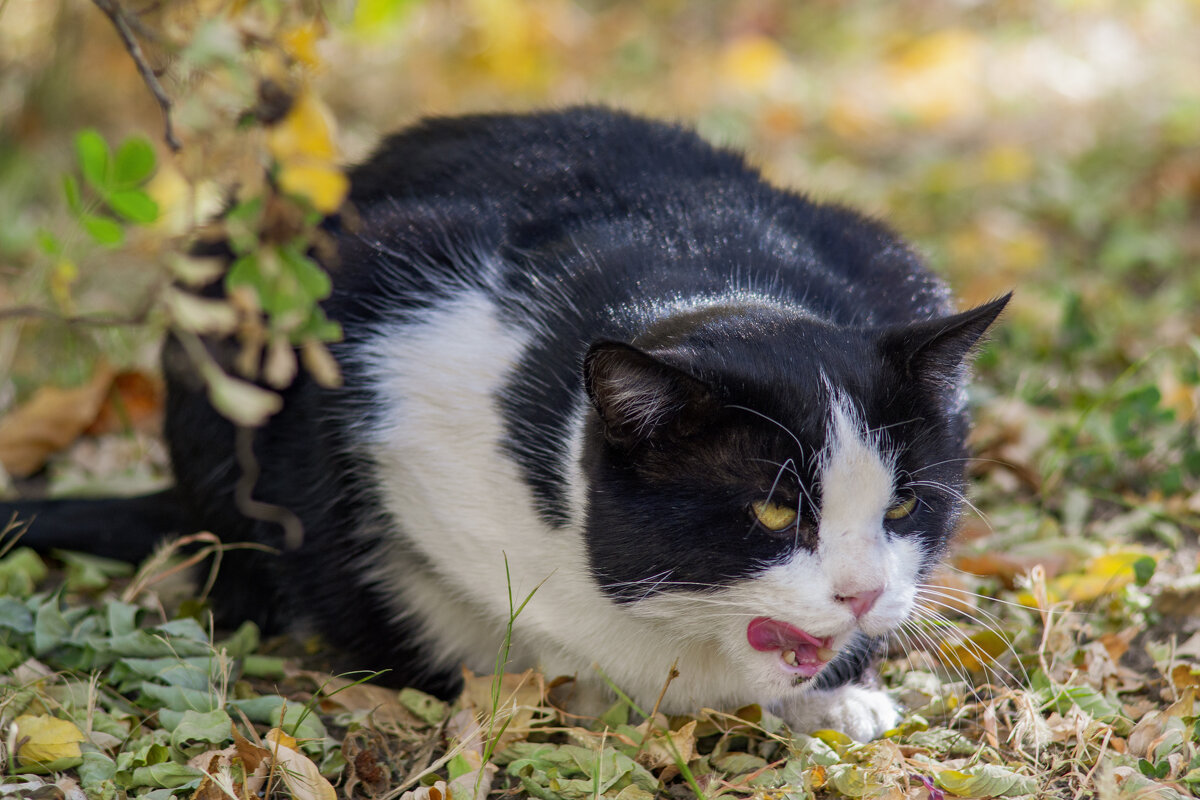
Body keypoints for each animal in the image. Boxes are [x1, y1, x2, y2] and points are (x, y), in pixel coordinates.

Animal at [4, 109, 1008, 743]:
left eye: (905, 506)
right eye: (769, 512)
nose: (862, 595)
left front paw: (841, 699)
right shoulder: (381, 327)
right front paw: (570, 684)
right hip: (229, 286)